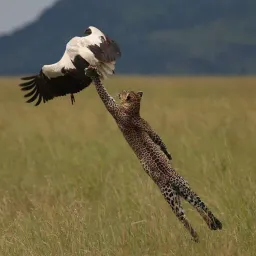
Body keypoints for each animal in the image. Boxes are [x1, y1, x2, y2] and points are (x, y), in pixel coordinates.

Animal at [86, 72, 222, 242]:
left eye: (125, 92)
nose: (120, 92)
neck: (133, 110)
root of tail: (173, 180)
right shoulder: (146, 125)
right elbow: (157, 138)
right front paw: (167, 154)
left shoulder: (114, 109)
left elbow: (104, 95)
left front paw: (93, 75)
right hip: (180, 192)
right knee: (194, 209)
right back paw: (209, 227)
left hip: (173, 195)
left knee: (191, 213)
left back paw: (206, 230)